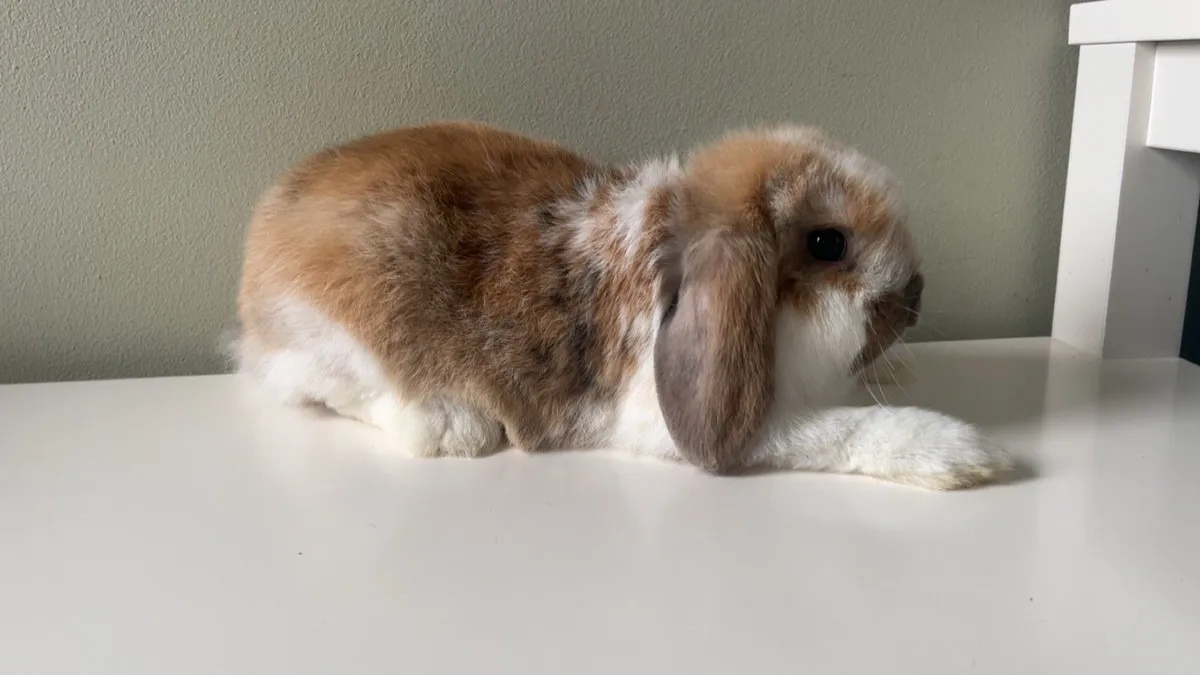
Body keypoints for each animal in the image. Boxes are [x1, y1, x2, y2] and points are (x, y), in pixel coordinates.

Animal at [235, 120, 1012, 490]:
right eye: (828, 242)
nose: (916, 298)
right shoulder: (677, 420)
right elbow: (838, 431)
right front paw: (967, 453)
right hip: (343, 331)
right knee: (341, 392)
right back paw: (454, 425)